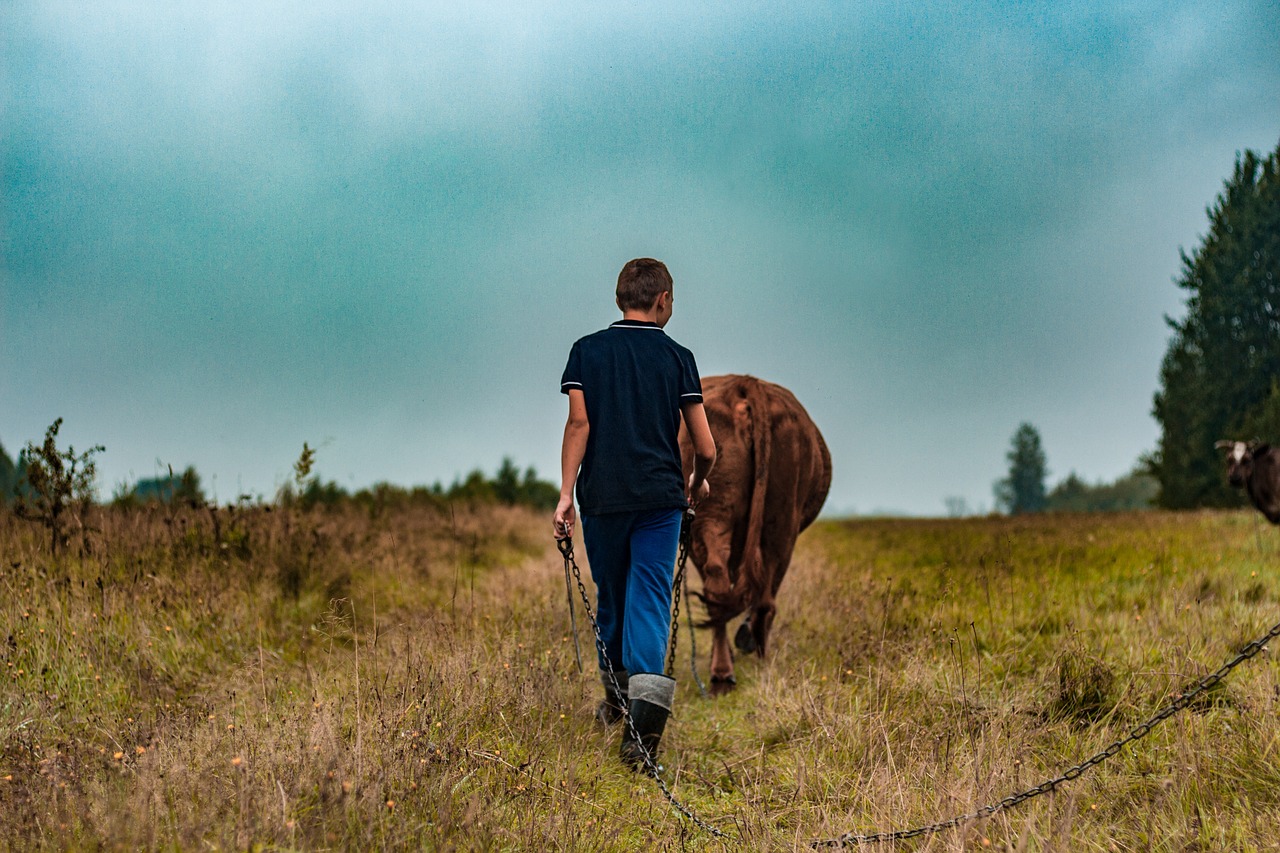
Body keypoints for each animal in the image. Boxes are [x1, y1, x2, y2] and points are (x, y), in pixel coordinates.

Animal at [680, 373, 829, 691]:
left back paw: (724, 672)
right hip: (780, 521)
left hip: (718, 516)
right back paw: (753, 660)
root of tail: (745, 384)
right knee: (759, 595)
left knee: (724, 587)